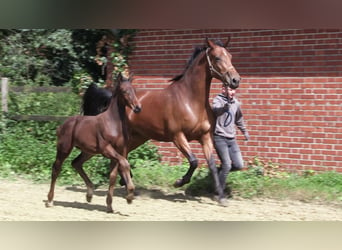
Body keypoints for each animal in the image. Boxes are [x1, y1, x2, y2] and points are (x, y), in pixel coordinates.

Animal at [45, 73, 142, 212]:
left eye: (134, 90)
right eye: (124, 91)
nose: (138, 108)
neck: (113, 123)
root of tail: (62, 125)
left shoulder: (120, 151)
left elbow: (113, 175)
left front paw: (110, 205)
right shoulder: (107, 149)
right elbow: (125, 164)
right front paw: (129, 194)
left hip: (88, 152)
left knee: (76, 163)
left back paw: (89, 194)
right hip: (64, 149)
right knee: (56, 169)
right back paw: (50, 200)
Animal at [82, 37, 240, 205]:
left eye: (230, 56)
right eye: (217, 58)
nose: (235, 80)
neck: (191, 101)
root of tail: (112, 96)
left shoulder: (205, 137)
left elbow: (211, 165)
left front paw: (221, 197)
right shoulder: (178, 136)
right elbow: (194, 161)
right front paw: (179, 182)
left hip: (138, 137)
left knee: (123, 157)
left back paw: (128, 185)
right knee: (120, 158)